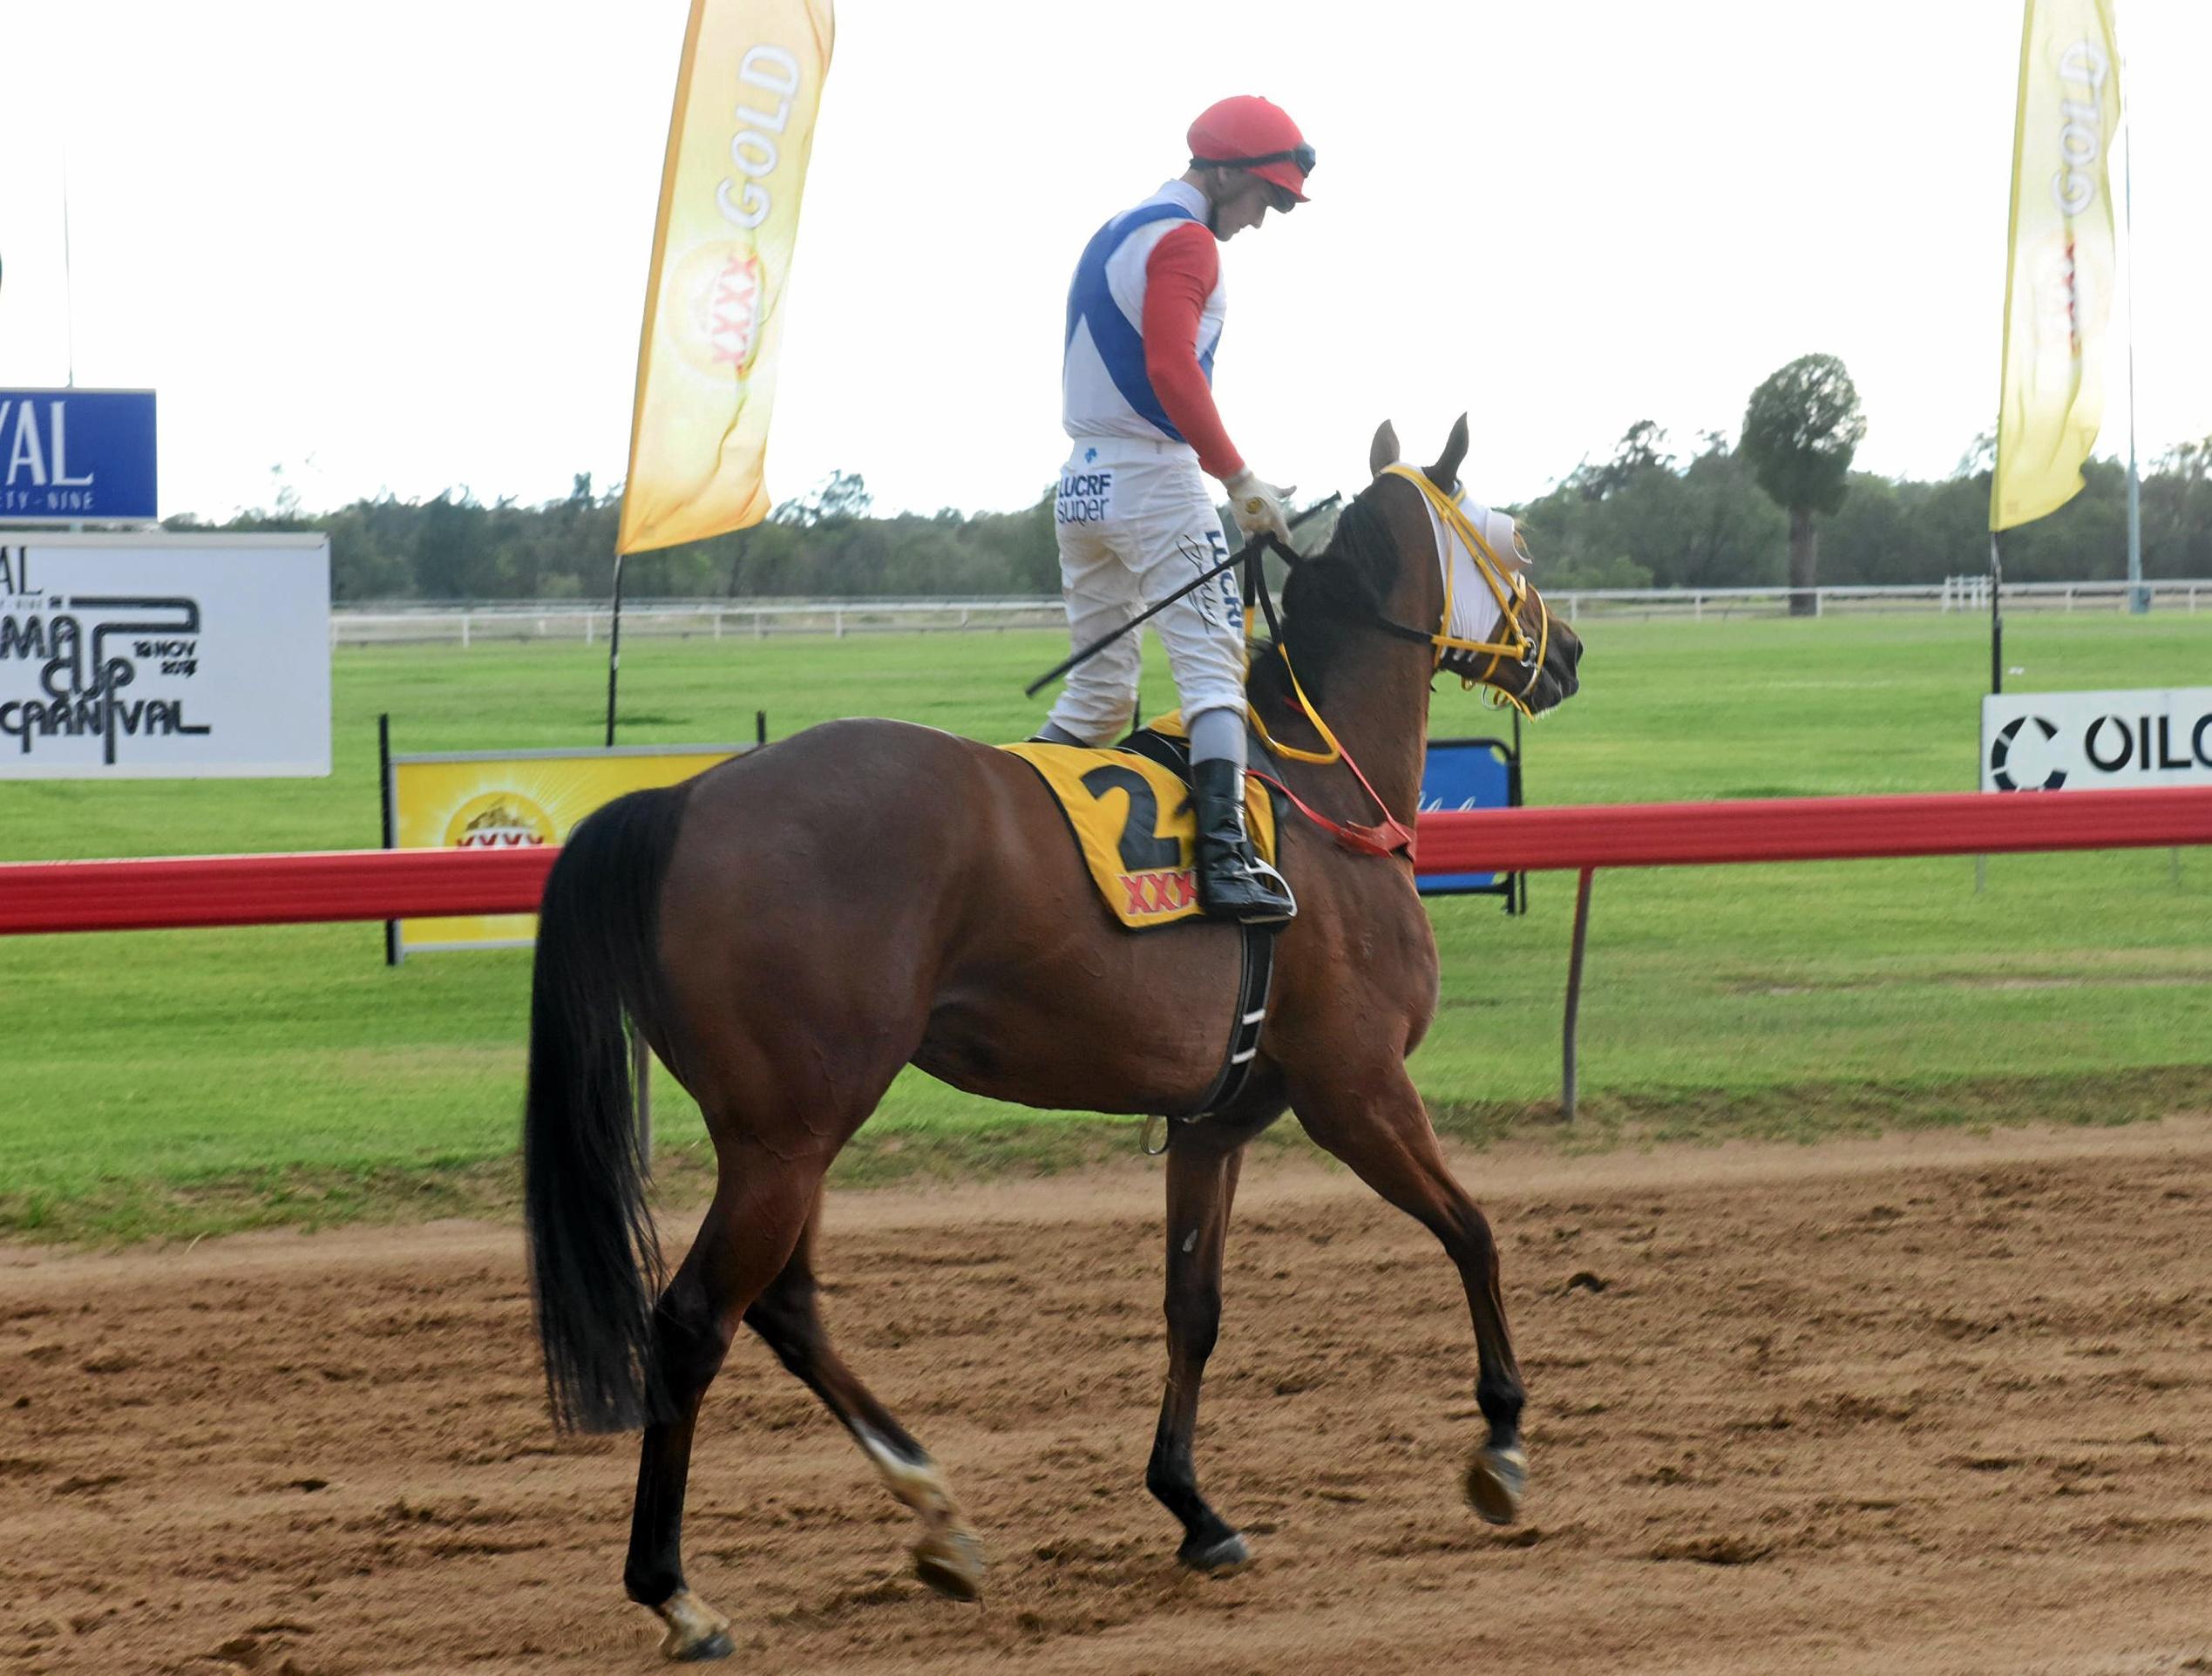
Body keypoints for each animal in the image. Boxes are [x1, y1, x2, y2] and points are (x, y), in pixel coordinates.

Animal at [524, 422, 1584, 1671]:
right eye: (1518, 539)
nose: (1567, 650)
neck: (1319, 786)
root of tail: (684, 800)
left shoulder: (1218, 1120)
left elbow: (1194, 1307)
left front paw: (1193, 1507)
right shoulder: (1358, 1089)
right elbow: (1473, 1233)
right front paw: (1502, 1442)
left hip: (786, 1134)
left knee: (786, 1309)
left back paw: (935, 1512)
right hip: (789, 1134)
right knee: (695, 1322)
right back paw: (676, 1591)